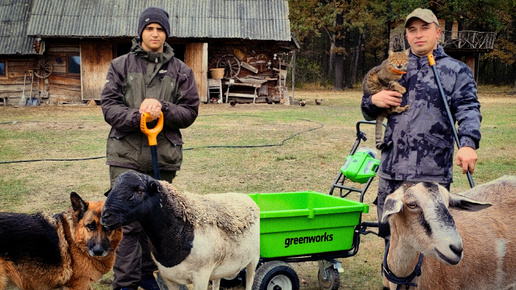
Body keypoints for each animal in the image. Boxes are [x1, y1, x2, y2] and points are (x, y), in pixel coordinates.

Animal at [99, 170, 260, 290]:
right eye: (112, 190)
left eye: (139, 190)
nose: (105, 217)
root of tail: (245, 197)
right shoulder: (168, 277)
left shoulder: (201, 277)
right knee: (217, 282)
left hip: (253, 259)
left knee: (250, 280)